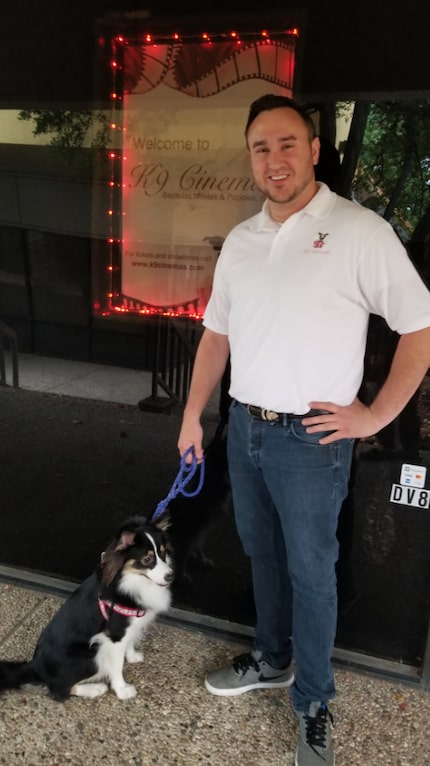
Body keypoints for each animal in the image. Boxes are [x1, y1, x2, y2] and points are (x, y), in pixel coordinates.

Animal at [0, 516, 173, 704]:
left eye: (163, 553)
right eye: (147, 559)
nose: (170, 576)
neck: (131, 580)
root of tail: (35, 666)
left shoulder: (128, 629)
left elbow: (129, 643)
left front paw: (132, 656)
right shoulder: (114, 635)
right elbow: (117, 665)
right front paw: (122, 690)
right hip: (91, 655)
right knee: (59, 691)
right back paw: (96, 688)